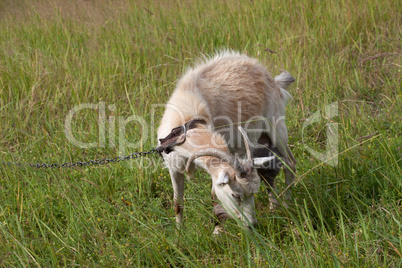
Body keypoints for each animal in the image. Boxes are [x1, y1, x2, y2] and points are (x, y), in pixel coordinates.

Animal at [157, 51, 296, 231]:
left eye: (252, 194)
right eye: (235, 195)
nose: (252, 225)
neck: (188, 123)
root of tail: (271, 77)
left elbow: (214, 198)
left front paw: (217, 231)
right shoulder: (174, 166)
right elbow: (177, 203)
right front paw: (179, 233)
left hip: (277, 128)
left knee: (289, 164)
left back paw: (287, 205)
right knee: (269, 171)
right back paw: (274, 207)